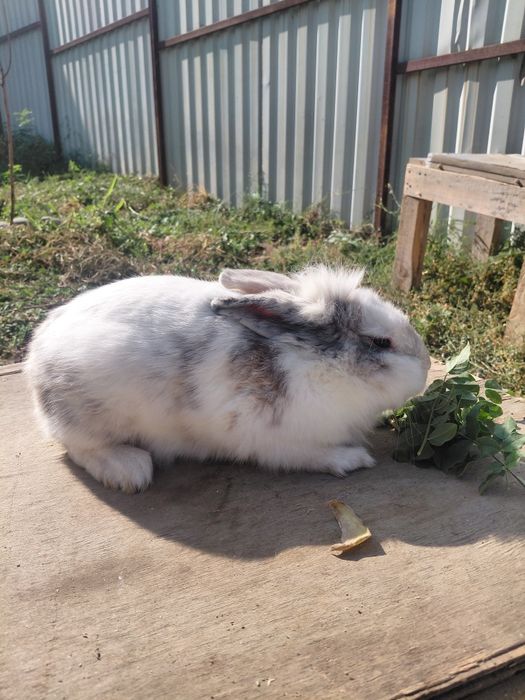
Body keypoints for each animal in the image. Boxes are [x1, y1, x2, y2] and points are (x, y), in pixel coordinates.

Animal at [25, 266, 430, 493]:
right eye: (380, 342)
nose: (427, 365)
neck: (311, 360)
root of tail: (35, 357)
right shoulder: (275, 441)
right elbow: (312, 455)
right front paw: (354, 459)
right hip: (90, 412)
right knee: (79, 447)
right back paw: (130, 470)